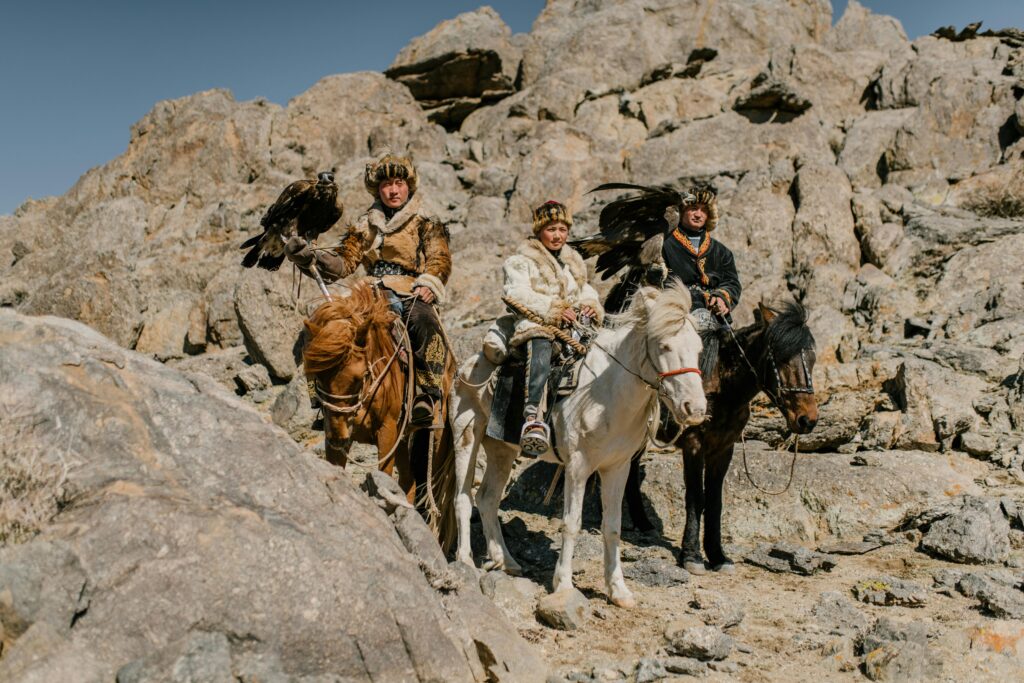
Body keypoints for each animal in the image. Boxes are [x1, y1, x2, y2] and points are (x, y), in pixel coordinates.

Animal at [303, 282, 456, 548]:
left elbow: (383, 476)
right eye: (317, 378)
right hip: (403, 437)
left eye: (358, 377)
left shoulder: (387, 432)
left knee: (431, 486)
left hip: (435, 435)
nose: (337, 437)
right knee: (409, 482)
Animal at [452, 284, 708, 610]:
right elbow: (571, 523)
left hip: (501, 449)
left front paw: (618, 590)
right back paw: (465, 562)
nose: (695, 409)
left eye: (699, 349)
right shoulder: (577, 465)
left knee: (487, 499)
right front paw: (563, 584)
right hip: (466, 437)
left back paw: (506, 561)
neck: (605, 392)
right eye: (663, 346)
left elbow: (612, 526)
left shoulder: (617, 468)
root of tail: (468, 365)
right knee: (463, 498)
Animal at [618, 301, 819, 573]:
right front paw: (691, 555)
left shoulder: (724, 448)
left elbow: (715, 500)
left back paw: (642, 522)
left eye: (812, 359)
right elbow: (696, 497)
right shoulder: (694, 445)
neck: (723, 388)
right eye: (781, 358)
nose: (808, 420)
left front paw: (717, 555)